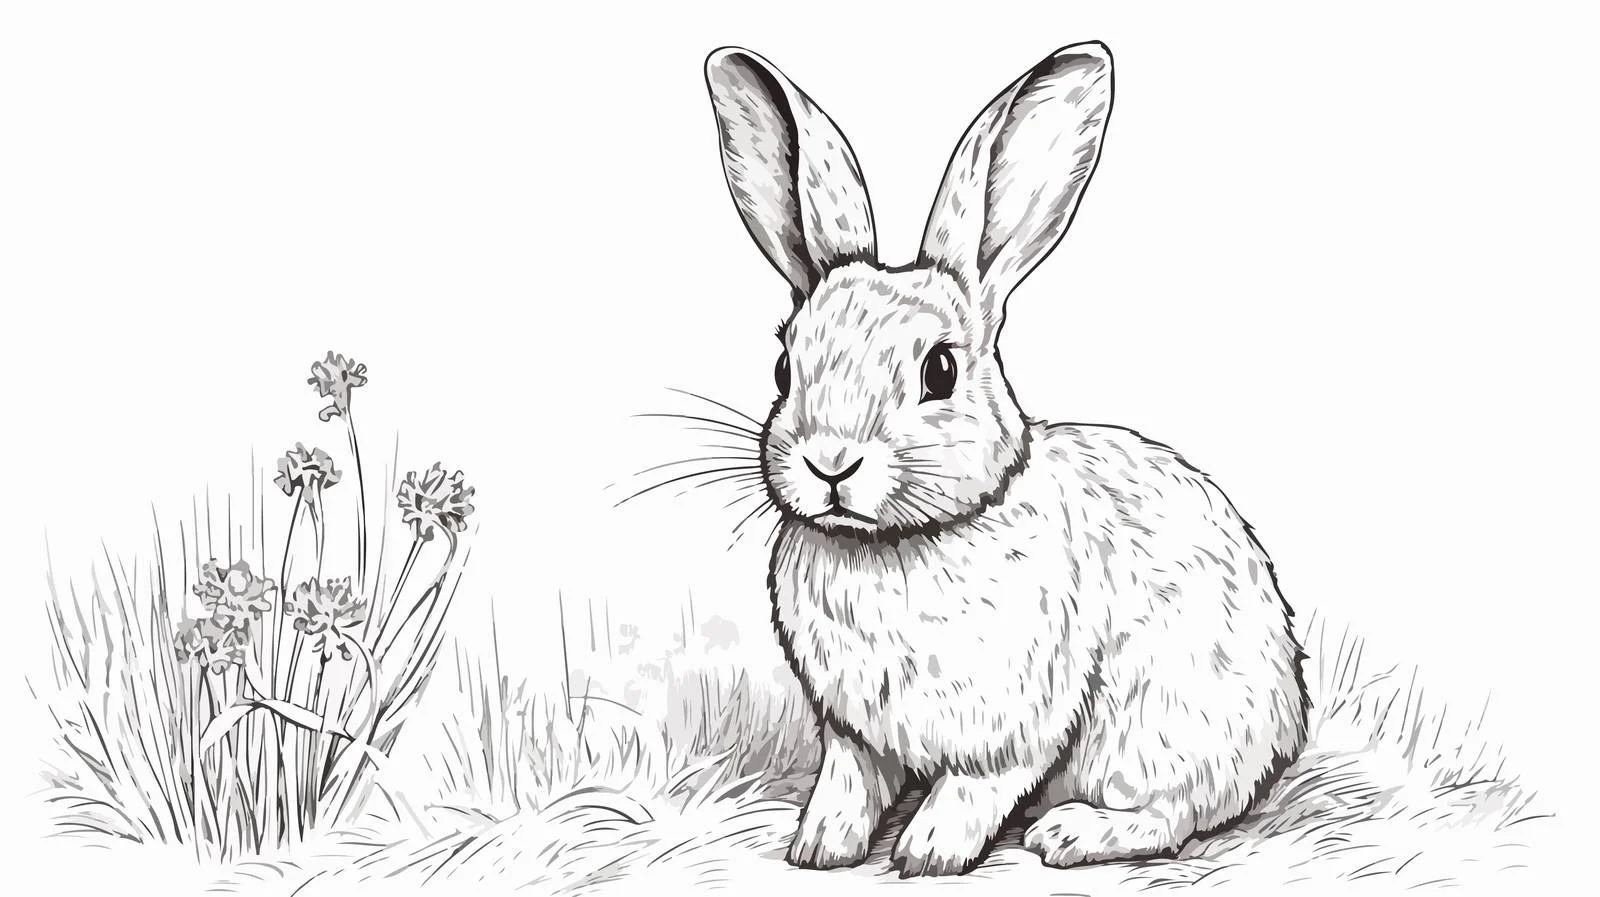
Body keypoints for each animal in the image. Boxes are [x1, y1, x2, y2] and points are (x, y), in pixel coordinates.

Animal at [703, 41, 1309, 877]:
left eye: (940, 370)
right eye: (784, 366)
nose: (830, 463)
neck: (894, 544)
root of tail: (1286, 720)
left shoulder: (1015, 728)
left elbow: (973, 787)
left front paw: (927, 853)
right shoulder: (853, 734)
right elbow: (849, 781)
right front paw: (819, 846)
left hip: (1171, 727)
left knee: (1173, 814)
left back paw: (1071, 833)